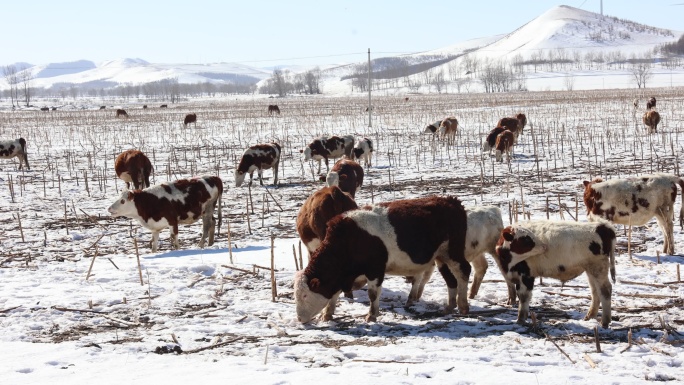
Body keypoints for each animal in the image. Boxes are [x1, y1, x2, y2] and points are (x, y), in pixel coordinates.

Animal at [294, 194, 470, 322]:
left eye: (304, 295)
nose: (300, 319)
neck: (349, 238)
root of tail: (452, 201)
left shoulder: (375, 269)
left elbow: (373, 294)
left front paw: (371, 315)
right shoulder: (342, 275)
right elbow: (334, 293)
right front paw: (327, 314)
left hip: (453, 252)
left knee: (463, 271)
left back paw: (463, 306)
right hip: (441, 257)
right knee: (450, 279)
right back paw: (450, 306)